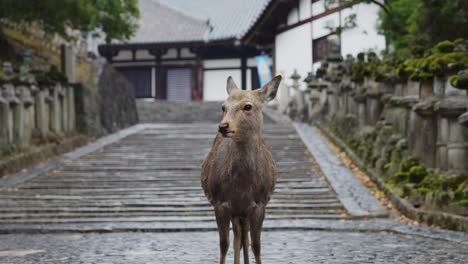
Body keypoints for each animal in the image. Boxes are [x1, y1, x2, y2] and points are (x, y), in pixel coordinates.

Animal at [201, 75, 282, 262]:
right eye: (223, 106)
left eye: (248, 106)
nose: (223, 126)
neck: (242, 185)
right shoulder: (220, 203)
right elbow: (224, 244)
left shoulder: (259, 204)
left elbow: (256, 245)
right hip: (237, 211)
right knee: (238, 236)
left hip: (243, 211)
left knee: (243, 236)